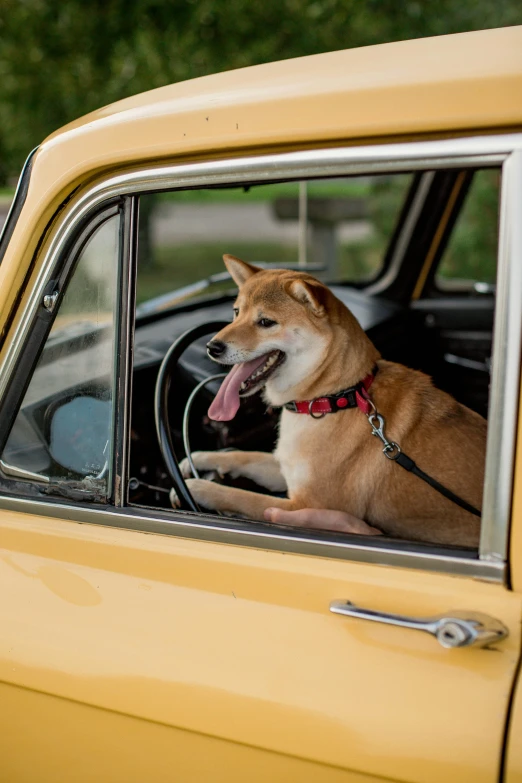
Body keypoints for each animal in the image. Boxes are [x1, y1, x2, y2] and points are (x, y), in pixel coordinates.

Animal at [175, 256, 484, 544]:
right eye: (236, 313)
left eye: (266, 322)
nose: (211, 347)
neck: (333, 398)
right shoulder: (287, 468)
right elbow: (244, 456)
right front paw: (200, 458)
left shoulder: (304, 505)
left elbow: (242, 497)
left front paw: (198, 489)